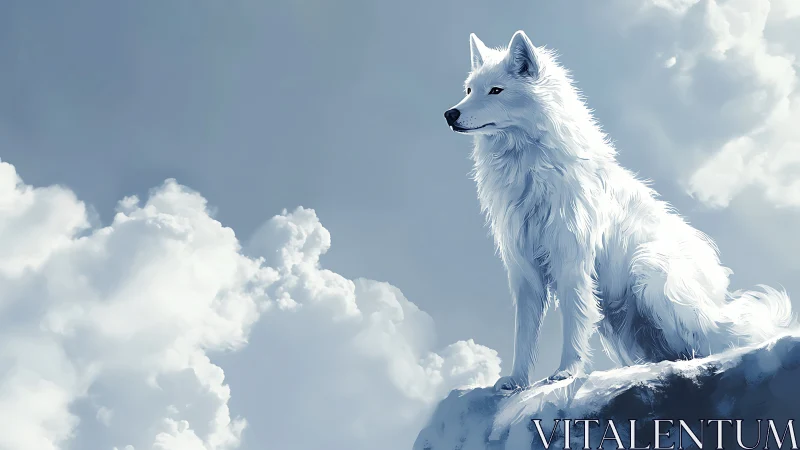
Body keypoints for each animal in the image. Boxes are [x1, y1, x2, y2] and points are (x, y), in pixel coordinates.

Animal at [444, 30, 797, 390]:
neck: (529, 168)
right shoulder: (525, 272)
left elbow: (573, 325)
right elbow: (524, 336)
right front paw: (515, 381)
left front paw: (565, 373)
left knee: (711, 345)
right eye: (469, 90)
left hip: (650, 274)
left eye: (496, 90)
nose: (450, 114)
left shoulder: (572, 264)